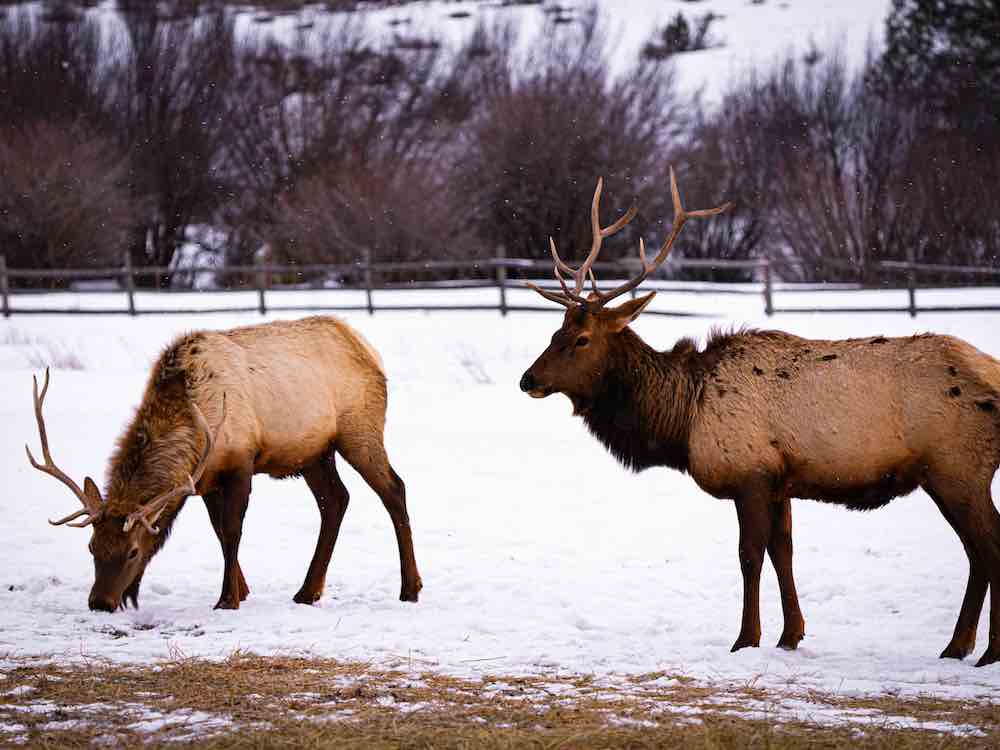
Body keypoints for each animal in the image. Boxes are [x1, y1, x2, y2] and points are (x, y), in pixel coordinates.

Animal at [27, 315, 422, 613]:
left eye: (133, 551)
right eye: (92, 547)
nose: (100, 602)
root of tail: (367, 347)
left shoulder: (240, 464)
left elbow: (232, 531)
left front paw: (227, 598)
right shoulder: (204, 480)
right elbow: (218, 531)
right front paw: (241, 589)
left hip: (360, 431)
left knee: (394, 489)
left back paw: (410, 588)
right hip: (313, 452)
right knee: (336, 500)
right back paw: (308, 591)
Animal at [519, 169, 1000, 667]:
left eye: (582, 339)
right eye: (556, 331)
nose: (527, 378)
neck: (683, 419)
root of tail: (992, 373)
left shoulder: (749, 473)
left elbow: (749, 556)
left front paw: (746, 638)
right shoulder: (780, 481)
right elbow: (783, 552)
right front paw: (791, 635)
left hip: (957, 468)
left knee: (989, 548)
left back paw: (984, 651)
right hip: (949, 474)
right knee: (977, 552)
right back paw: (960, 646)